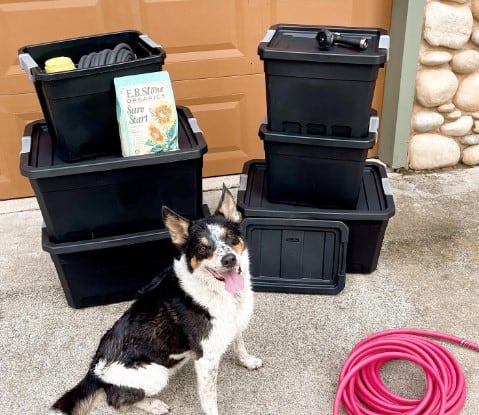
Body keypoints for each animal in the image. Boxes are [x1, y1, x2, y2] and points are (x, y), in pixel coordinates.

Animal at [48, 187, 262, 414]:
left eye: (230, 238)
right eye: (203, 248)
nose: (229, 259)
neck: (218, 291)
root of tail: (93, 371)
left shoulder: (234, 325)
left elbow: (239, 345)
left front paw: (248, 362)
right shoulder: (206, 359)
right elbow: (209, 400)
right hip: (157, 374)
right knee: (116, 399)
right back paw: (153, 405)